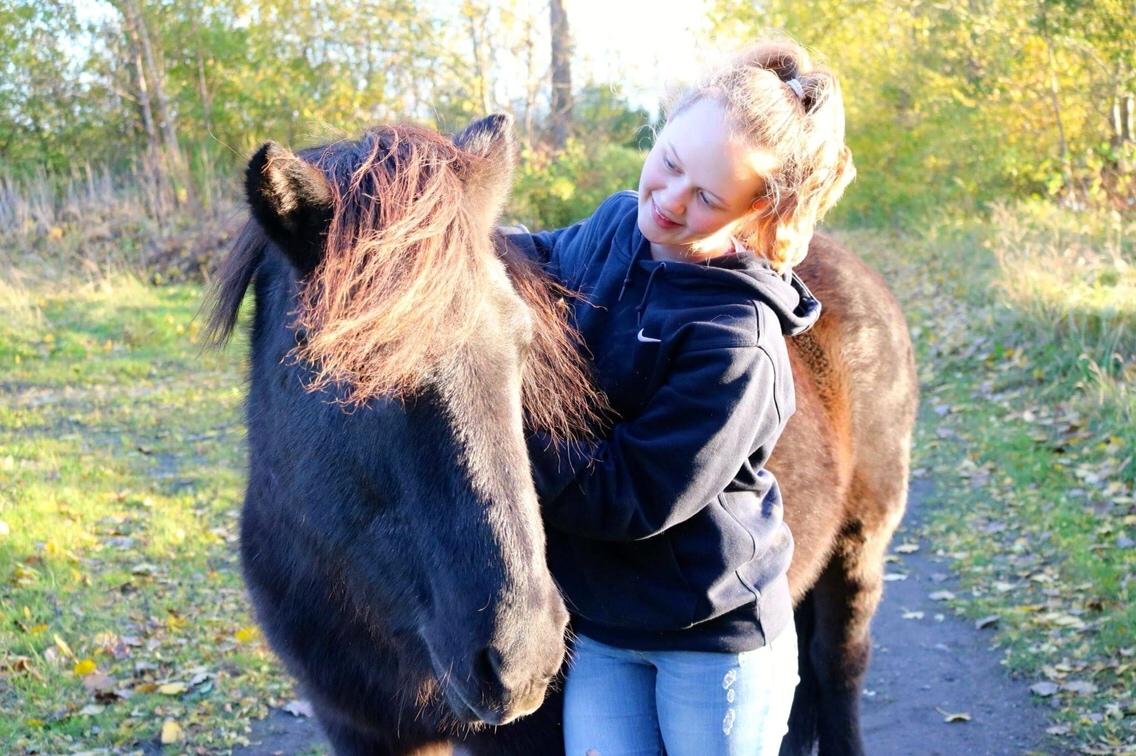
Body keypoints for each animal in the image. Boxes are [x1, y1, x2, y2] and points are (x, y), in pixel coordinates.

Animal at [204, 114, 913, 750]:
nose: (521, 656)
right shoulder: (358, 728)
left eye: (523, 342)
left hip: (859, 552)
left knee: (836, 671)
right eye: (351, 366)